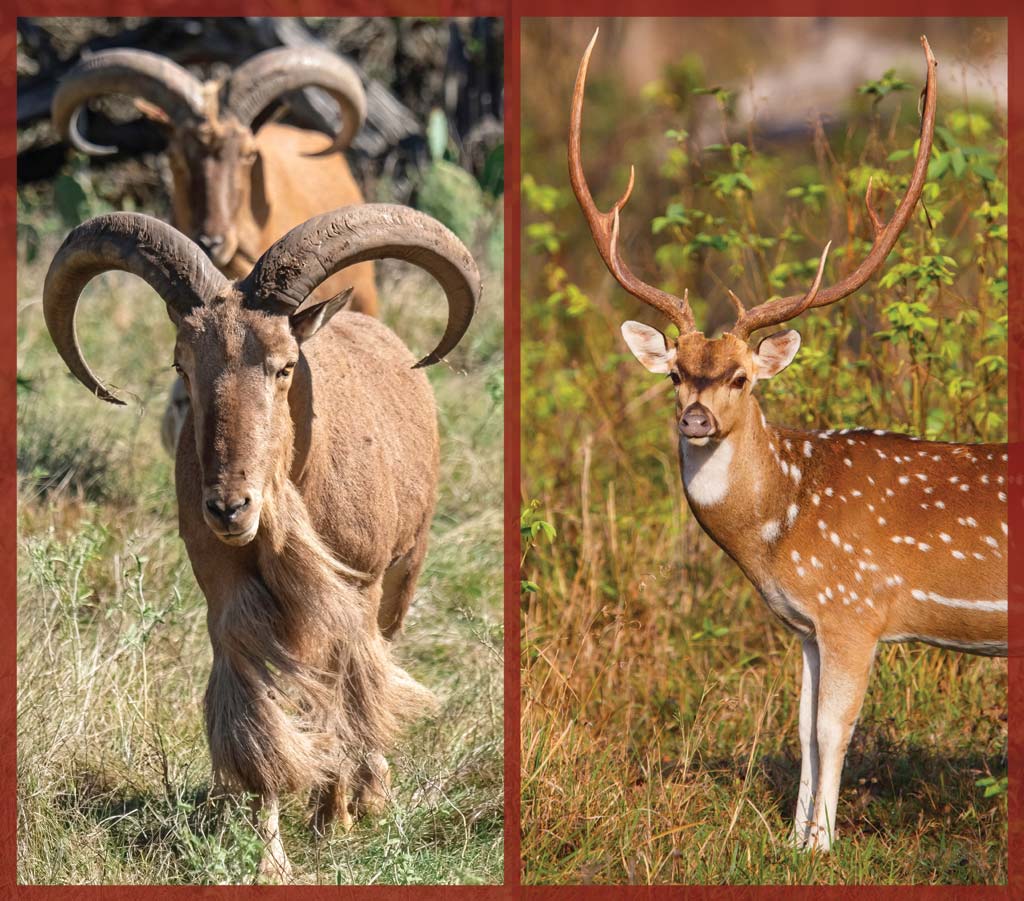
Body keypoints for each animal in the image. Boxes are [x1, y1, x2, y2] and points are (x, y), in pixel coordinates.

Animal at [42, 203, 480, 879]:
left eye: (284, 365)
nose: (228, 507)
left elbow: (347, 688)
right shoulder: (232, 602)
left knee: (376, 666)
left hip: (405, 570)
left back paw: (367, 795)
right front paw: (270, 858)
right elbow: (257, 719)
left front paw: (336, 817)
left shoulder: (354, 588)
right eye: (183, 365)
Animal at [570, 31, 1006, 852]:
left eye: (742, 377)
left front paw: (821, 844)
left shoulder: (855, 607)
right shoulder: (804, 623)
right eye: (675, 371)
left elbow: (835, 729)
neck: (780, 527)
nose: (695, 418)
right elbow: (800, 728)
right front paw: (794, 838)